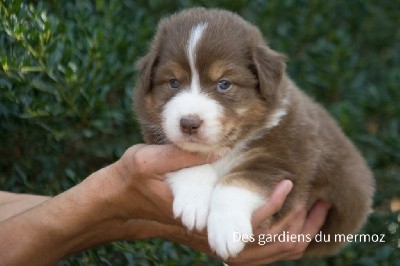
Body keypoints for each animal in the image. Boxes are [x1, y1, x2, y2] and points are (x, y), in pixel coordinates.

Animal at [134, 7, 376, 260]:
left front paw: (226, 231)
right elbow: (187, 160)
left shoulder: (283, 163)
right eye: (173, 82)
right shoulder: (157, 137)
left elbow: (237, 182)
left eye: (224, 84)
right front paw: (193, 202)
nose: (189, 123)